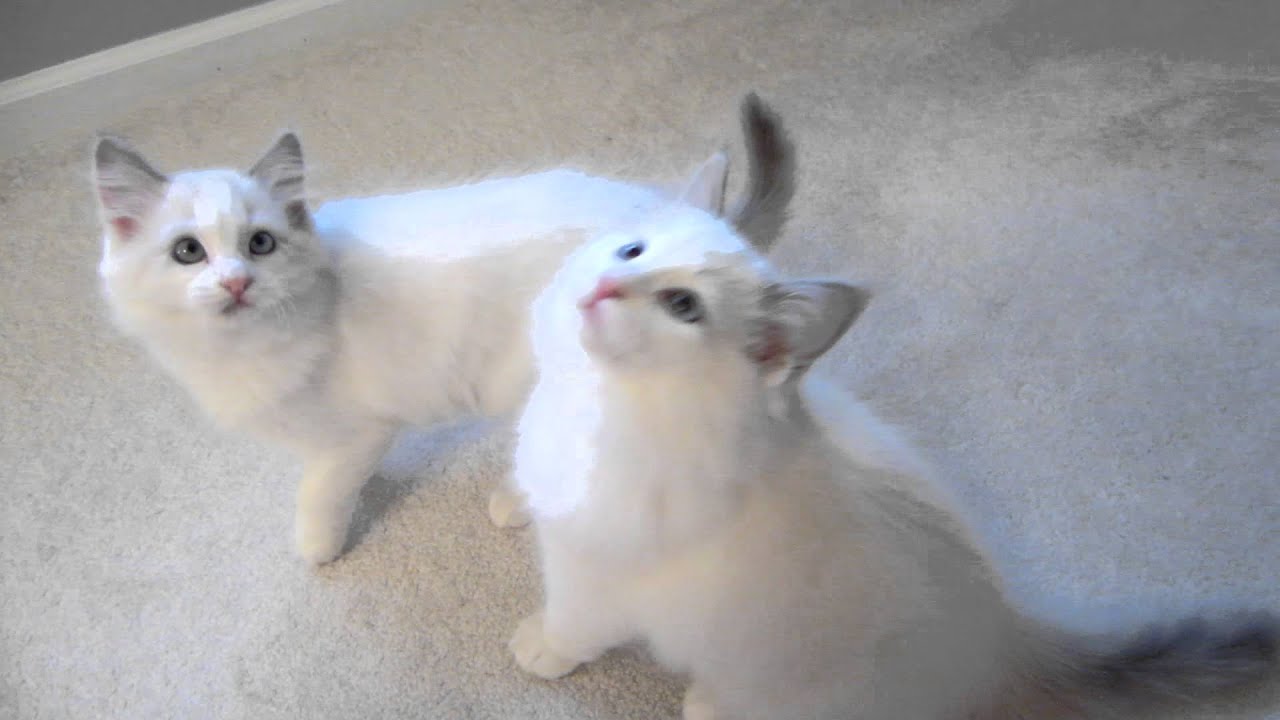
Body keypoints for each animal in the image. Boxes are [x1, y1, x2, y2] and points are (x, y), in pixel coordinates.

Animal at [92, 95, 788, 563]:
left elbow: (321, 493)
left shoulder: (359, 431)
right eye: (188, 253)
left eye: (259, 244)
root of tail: (677, 221)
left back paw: (514, 504)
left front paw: (318, 546)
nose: (237, 282)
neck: (232, 354)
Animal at [512, 220, 1280, 717]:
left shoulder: (595, 569)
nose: (608, 282)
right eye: (632, 250)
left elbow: (573, 622)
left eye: (682, 306)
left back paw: (706, 702)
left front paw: (540, 648)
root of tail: (1007, 635)